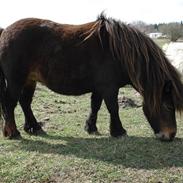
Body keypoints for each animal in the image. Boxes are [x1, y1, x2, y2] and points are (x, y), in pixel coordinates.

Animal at [0, 14, 183, 141]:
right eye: (168, 106)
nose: (170, 135)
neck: (118, 53)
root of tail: (5, 31)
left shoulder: (100, 87)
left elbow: (95, 105)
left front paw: (91, 127)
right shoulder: (109, 88)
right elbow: (113, 108)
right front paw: (119, 131)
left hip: (29, 80)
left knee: (25, 103)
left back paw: (33, 127)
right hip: (16, 80)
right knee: (10, 104)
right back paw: (13, 132)